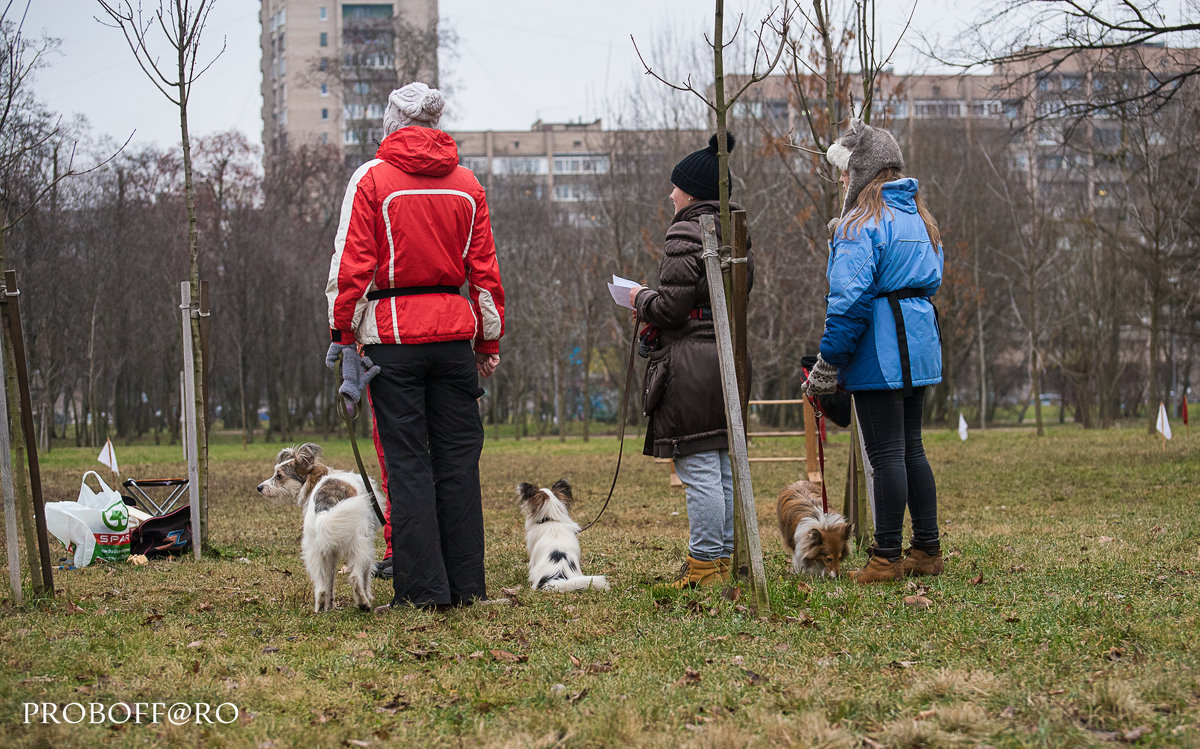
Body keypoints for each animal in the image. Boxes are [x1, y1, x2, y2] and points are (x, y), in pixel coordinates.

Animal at [255, 441, 381, 612]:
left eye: (279, 476)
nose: (259, 488)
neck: (316, 478)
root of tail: (325, 506)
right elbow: (366, 575)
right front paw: (368, 595)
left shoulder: (329, 552)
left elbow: (331, 581)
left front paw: (331, 603)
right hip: (360, 543)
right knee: (356, 576)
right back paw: (363, 603)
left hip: (315, 551)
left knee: (321, 587)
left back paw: (321, 608)